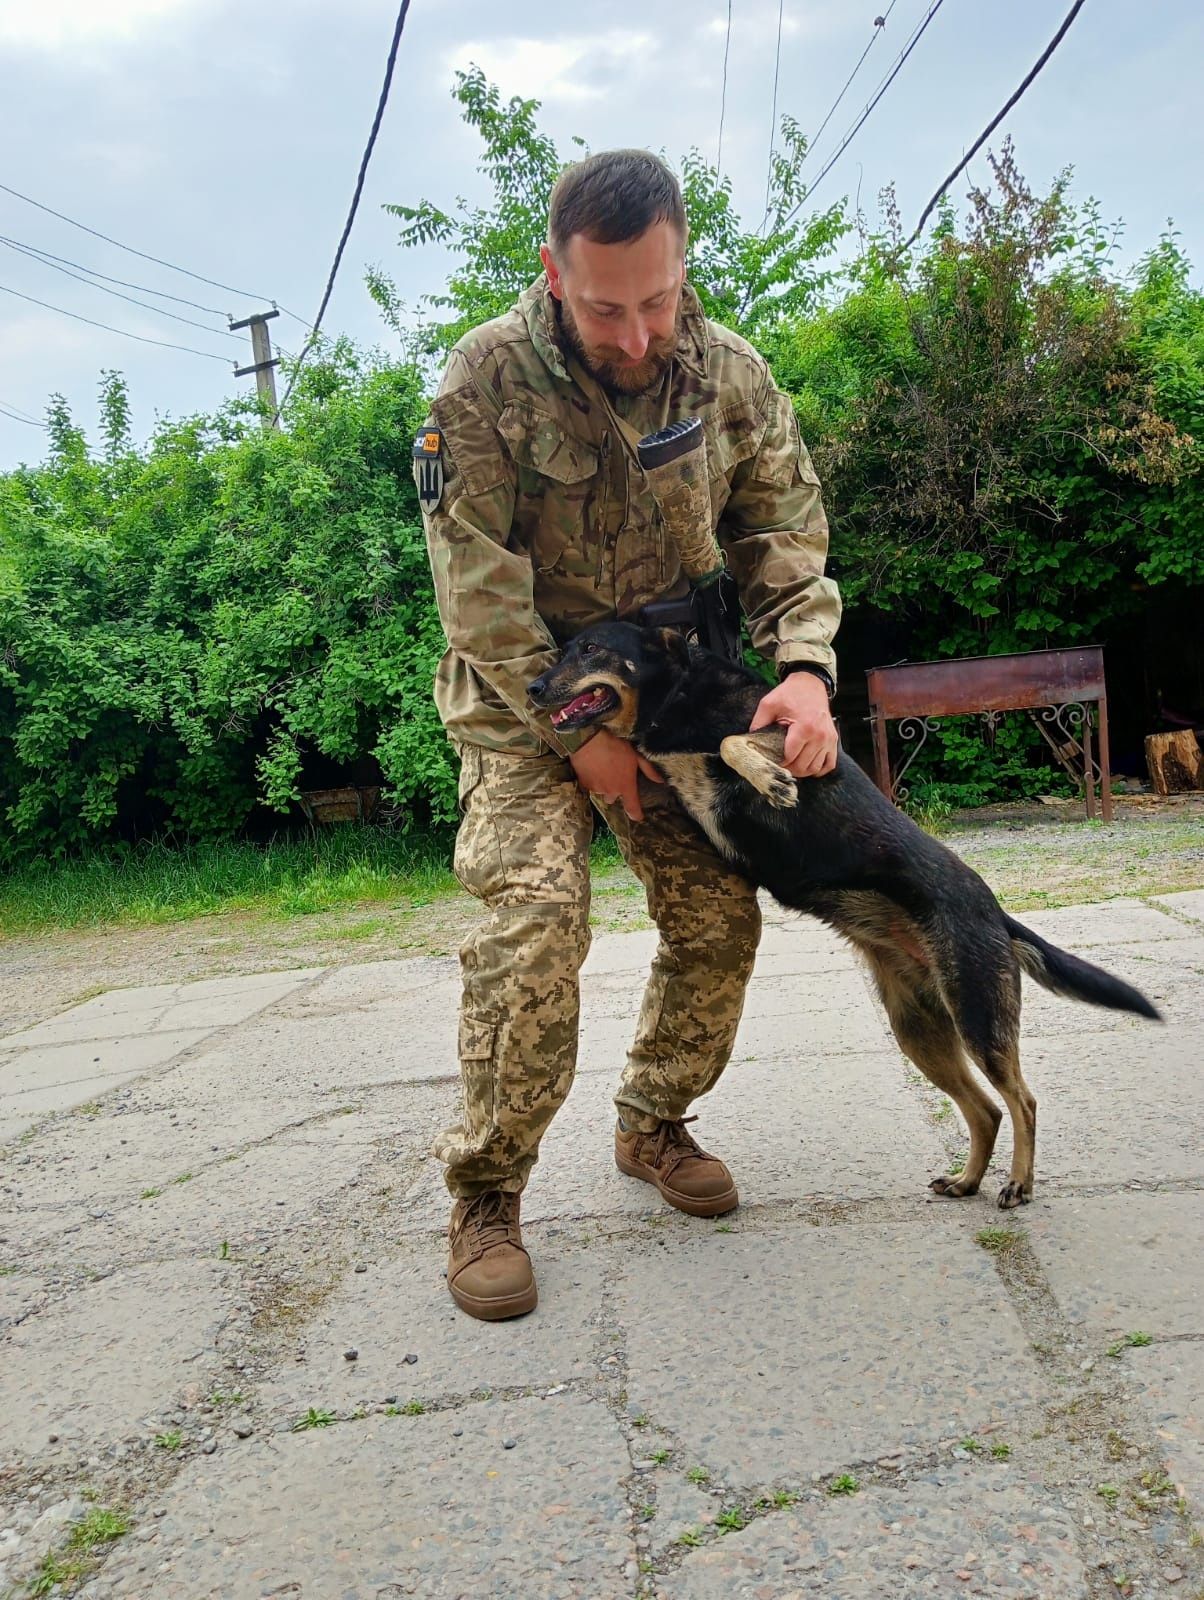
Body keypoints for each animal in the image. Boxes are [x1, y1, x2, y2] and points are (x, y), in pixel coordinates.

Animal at [531, 617, 1159, 1203]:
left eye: (591, 649)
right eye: (563, 649)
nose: (533, 686)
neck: (678, 694)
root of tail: (995, 914)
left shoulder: (797, 737)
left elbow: (735, 743)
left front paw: (771, 782)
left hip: (978, 1017)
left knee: (1023, 1101)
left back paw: (1019, 1183)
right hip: (919, 1033)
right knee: (988, 1109)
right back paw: (967, 1180)